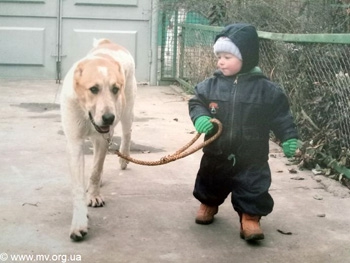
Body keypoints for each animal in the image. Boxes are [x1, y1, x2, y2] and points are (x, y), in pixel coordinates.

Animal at [60, 38, 137, 242]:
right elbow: (79, 187)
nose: (109, 118)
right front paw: (79, 222)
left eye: (115, 89)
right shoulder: (75, 143)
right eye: (93, 89)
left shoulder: (103, 138)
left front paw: (94, 196)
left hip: (126, 111)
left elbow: (95, 169)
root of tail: (110, 42)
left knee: (126, 133)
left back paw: (124, 158)